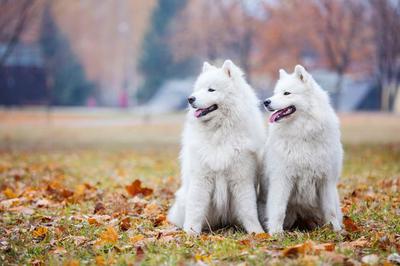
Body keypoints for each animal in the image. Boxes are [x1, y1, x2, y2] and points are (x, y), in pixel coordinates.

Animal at [167, 60, 268, 235]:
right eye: (199, 89)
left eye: (211, 89)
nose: (190, 98)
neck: (219, 132)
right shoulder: (201, 179)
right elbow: (195, 209)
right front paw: (190, 233)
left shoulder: (242, 179)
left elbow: (249, 210)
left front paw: (257, 232)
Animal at [260, 65, 344, 234]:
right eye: (275, 92)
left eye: (286, 93)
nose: (266, 102)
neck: (303, 133)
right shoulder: (282, 179)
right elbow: (278, 209)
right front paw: (276, 233)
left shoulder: (326, 180)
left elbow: (330, 210)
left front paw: (335, 230)